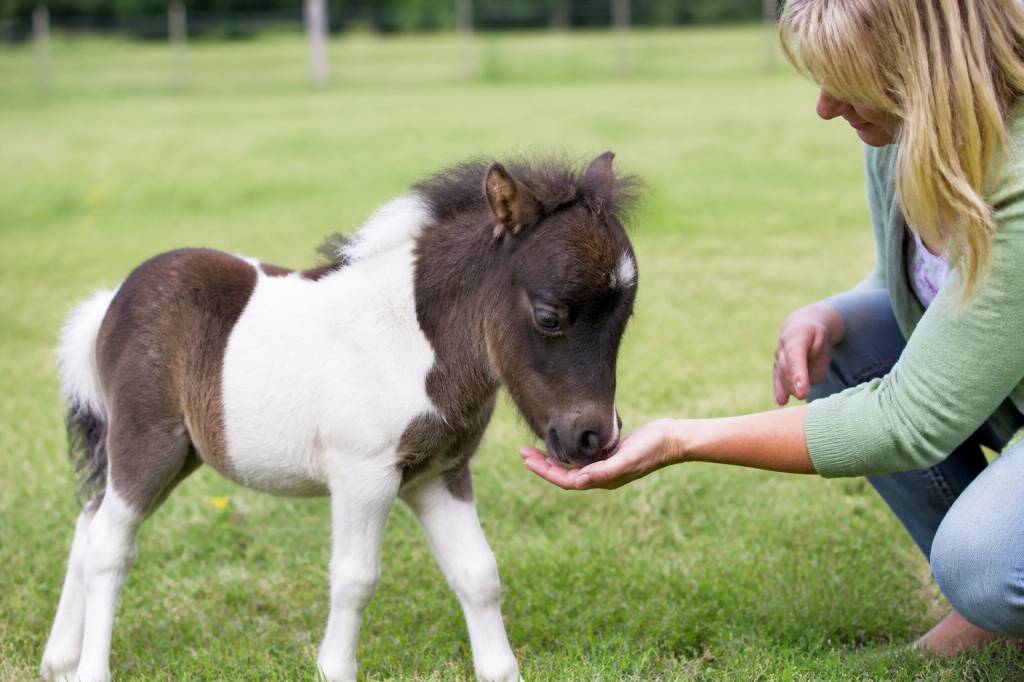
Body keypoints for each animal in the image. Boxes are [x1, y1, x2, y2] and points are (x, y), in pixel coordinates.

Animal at [40, 152, 639, 682]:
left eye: (625, 318)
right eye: (550, 316)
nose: (593, 438)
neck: (411, 340)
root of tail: (111, 302)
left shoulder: (438, 474)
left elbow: (478, 573)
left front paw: (501, 671)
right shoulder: (363, 475)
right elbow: (355, 579)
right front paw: (333, 669)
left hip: (180, 453)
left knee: (88, 521)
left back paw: (59, 662)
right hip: (148, 443)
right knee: (109, 544)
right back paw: (90, 670)